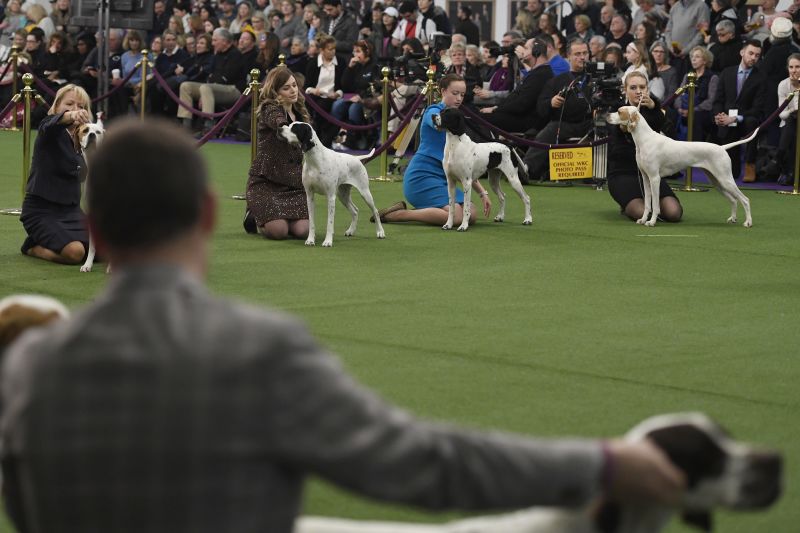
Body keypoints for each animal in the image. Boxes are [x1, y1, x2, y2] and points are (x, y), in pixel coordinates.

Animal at [608, 105, 756, 227]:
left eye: (619, 111)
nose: (607, 115)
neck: (645, 140)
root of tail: (722, 147)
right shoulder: (645, 178)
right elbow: (647, 204)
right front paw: (644, 219)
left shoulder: (655, 178)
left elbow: (655, 205)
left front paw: (652, 222)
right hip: (717, 182)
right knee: (734, 200)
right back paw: (733, 218)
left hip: (725, 180)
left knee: (745, 199)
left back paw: (748, 222)